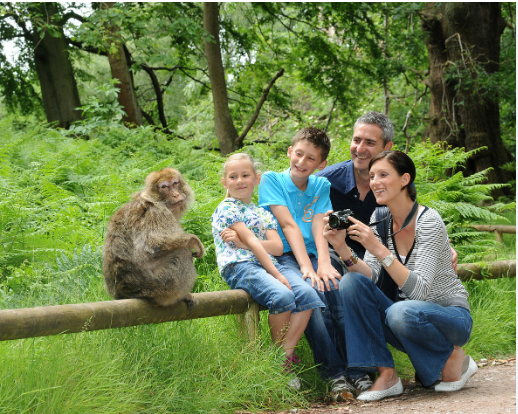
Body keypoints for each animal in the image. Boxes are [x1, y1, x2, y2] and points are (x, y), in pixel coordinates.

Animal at [102, 167, 205, 308]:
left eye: (175, 183)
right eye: (164, 187)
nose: (175, 194)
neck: (156, 201)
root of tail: (124, 292)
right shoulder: (157, 213)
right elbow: (153, 243)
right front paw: (193, 241)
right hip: (162, 284)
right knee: (182, 252)